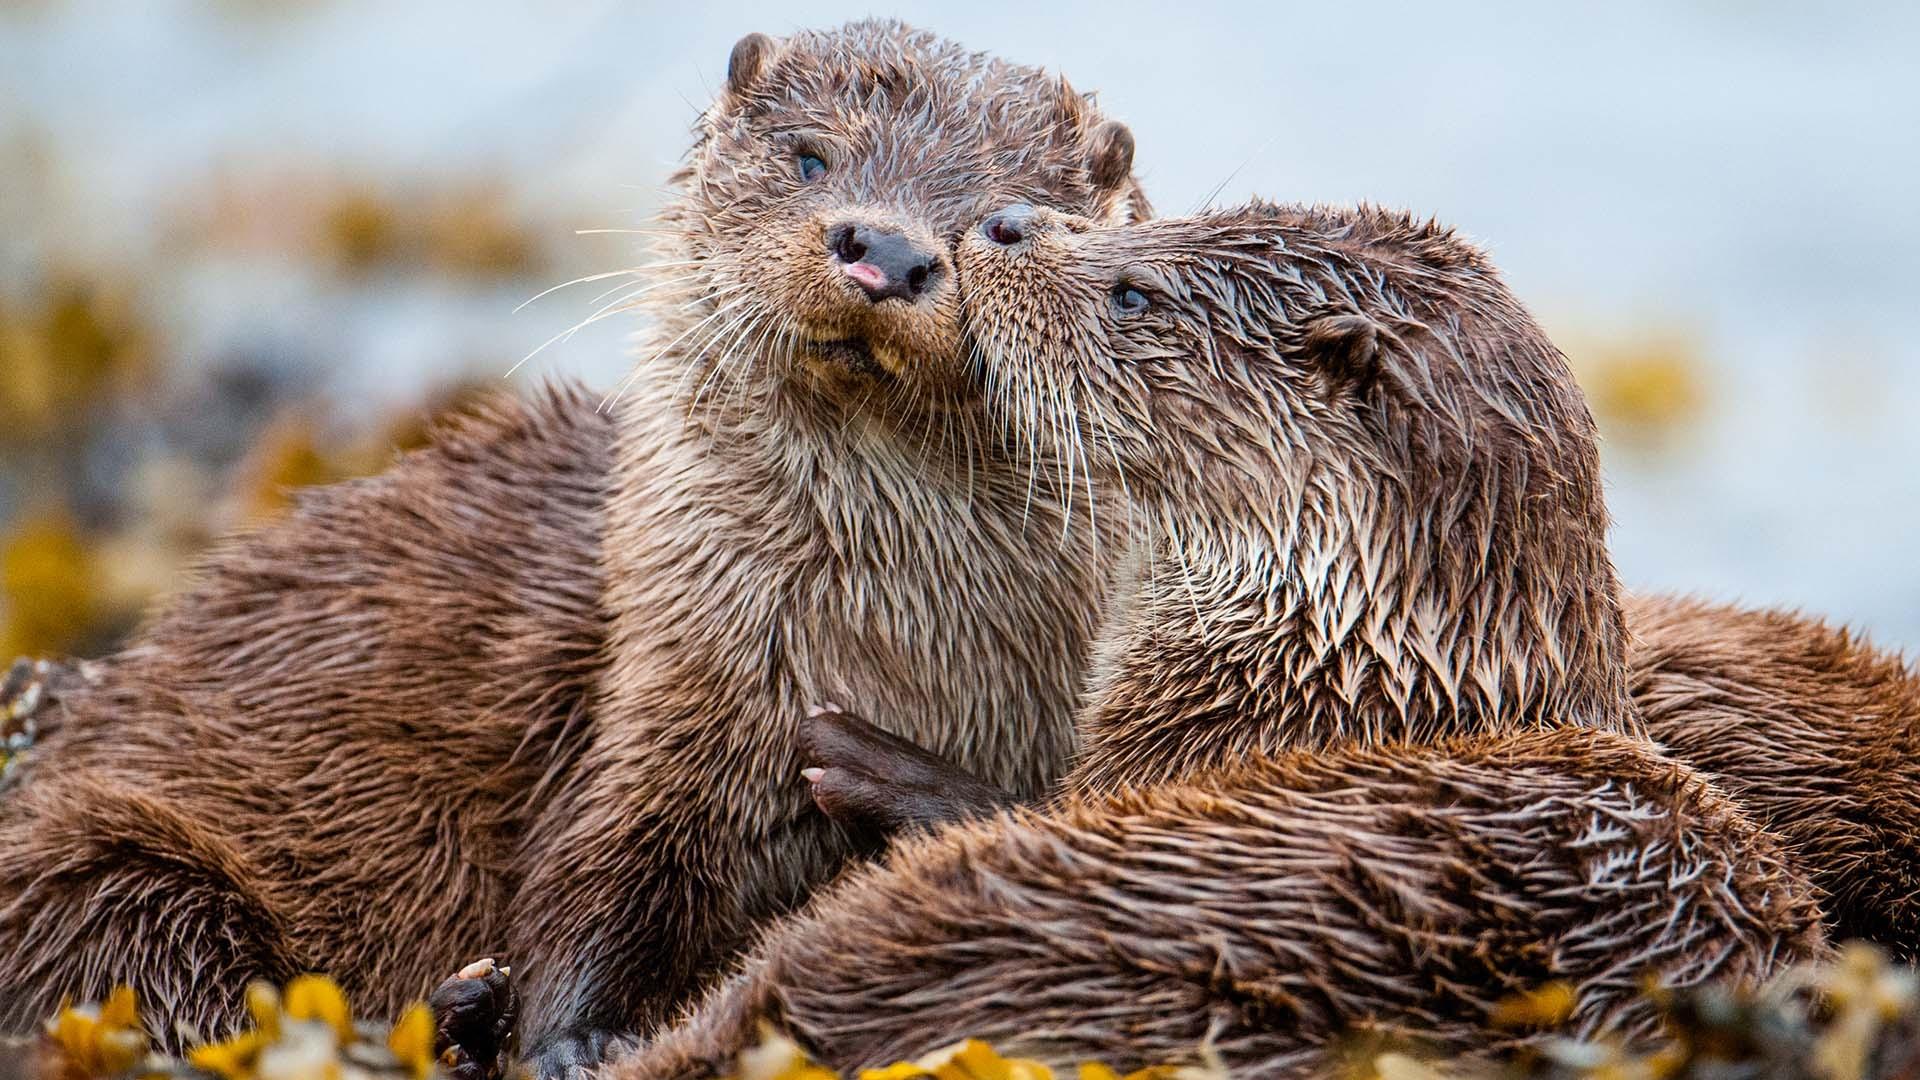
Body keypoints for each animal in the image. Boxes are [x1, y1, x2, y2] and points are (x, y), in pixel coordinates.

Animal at [0, 21, 1150, 1074]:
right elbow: (595, 877)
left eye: (1007, 221)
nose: (890, 250)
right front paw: (568, 1038)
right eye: (812, 157)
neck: (893, 651)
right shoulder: (666, 702)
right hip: (106, 863)